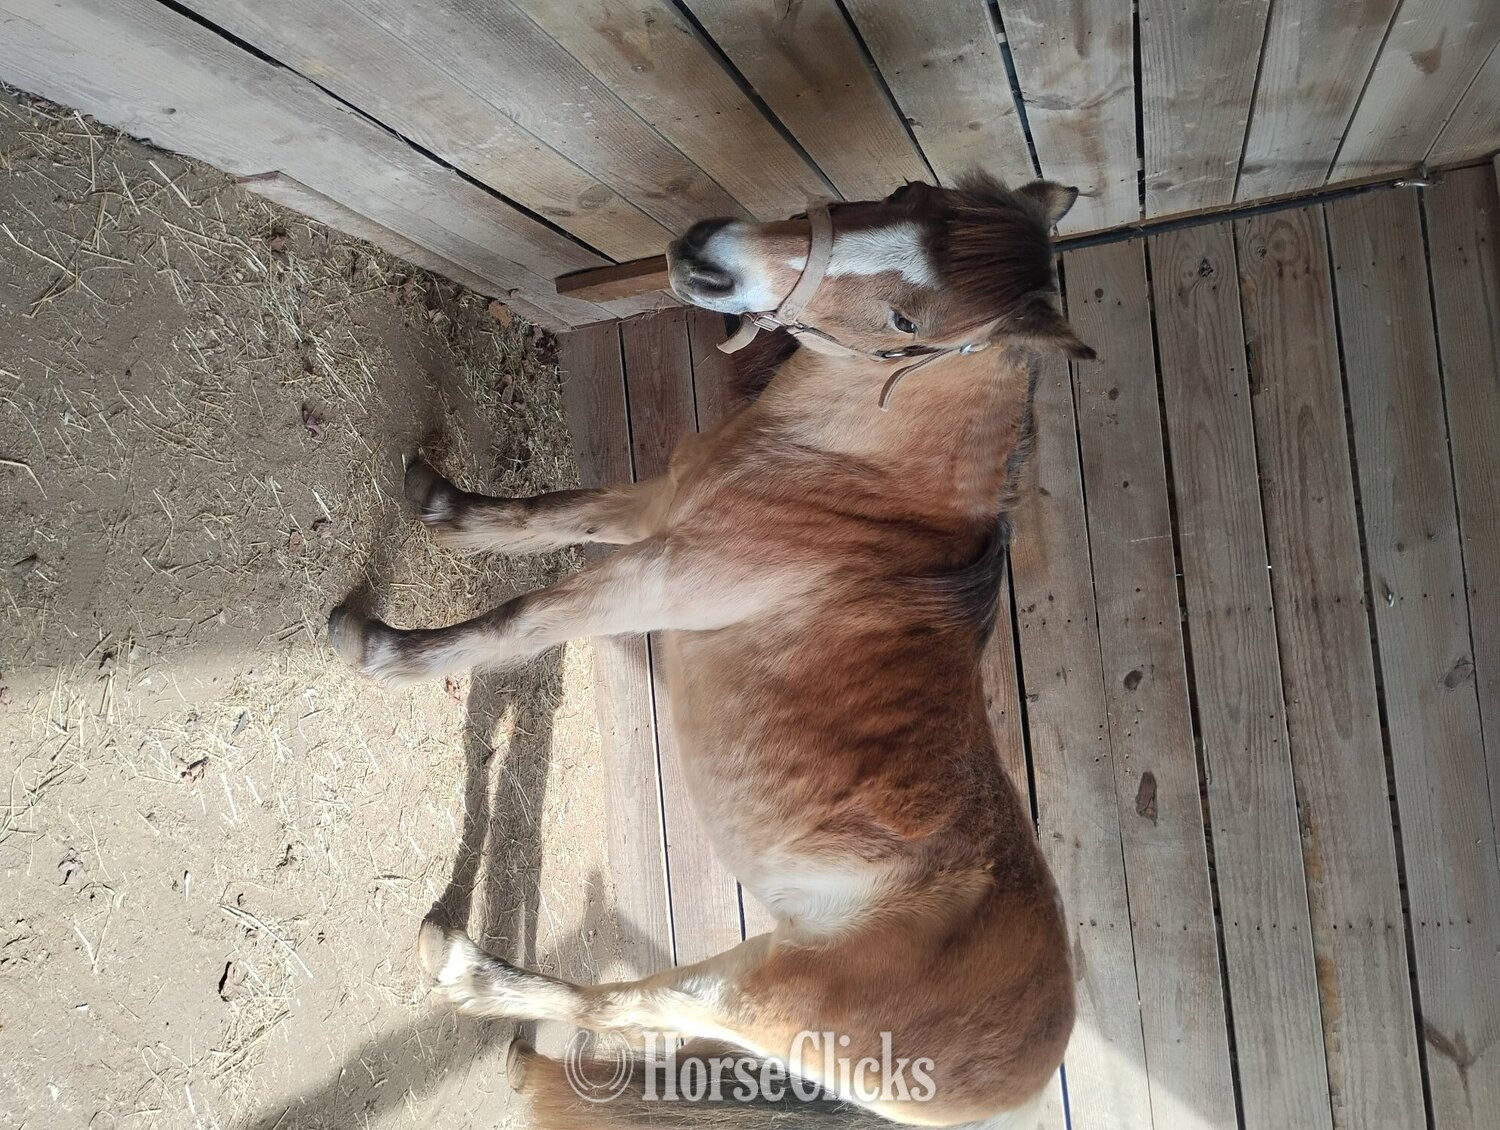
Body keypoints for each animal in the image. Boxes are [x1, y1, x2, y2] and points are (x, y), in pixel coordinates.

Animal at [328, 171, 1093, 1127]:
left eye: (907, 322)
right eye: (907, 191)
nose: (707, 257)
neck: (857, 488)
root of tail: (1026, 1071)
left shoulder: (653, 579)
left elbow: (520, 622)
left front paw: (377, 646)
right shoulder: (656, 508)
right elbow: (552, 512)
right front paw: (441, 507)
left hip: (755, 996)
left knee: (621, 1006)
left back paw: (469, 971)